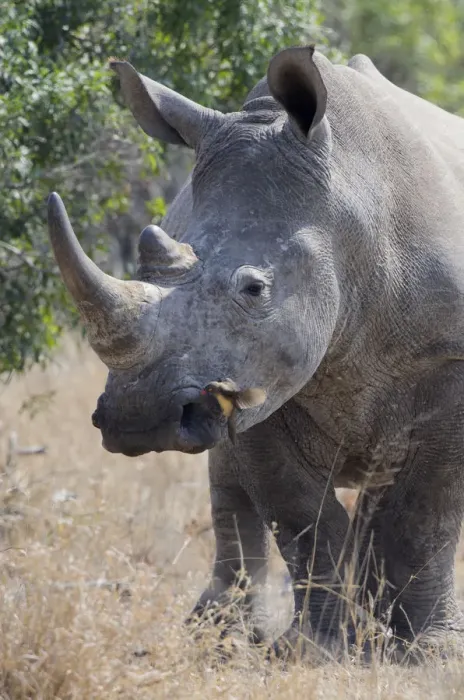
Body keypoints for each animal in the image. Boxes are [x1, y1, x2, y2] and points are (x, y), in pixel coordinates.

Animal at [47, 45, 464, 660]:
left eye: (255, 289)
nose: (138, 418)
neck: (351, 215)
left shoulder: (450, 360)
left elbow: (422, 516)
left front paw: (422, 655)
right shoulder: (252, 386)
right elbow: (301, 520)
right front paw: (317, 649)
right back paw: (219, 634)